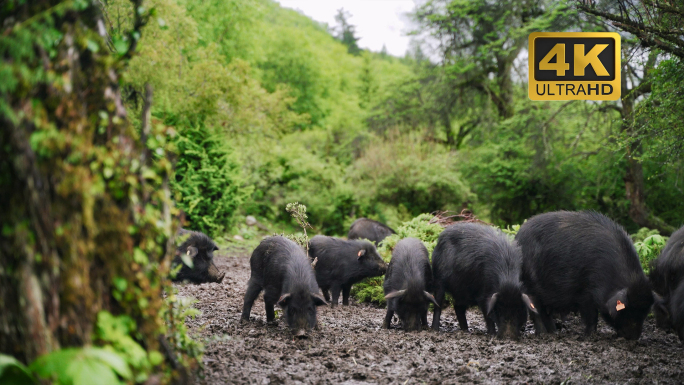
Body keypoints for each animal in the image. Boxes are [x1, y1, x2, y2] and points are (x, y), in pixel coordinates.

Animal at [516, 210, 656, 340]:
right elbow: (591, 316)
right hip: (529, 283)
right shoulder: (585, 292)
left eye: (644, 312)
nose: (634, 337)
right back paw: (543, 334)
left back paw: (553, 332)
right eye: (629, 309)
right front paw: (590, 336)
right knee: (536, 310)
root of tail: (518, 238)